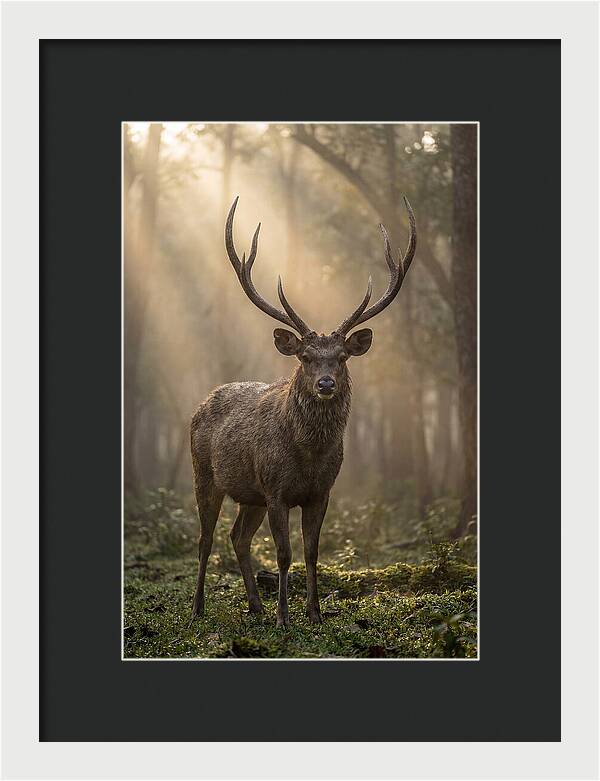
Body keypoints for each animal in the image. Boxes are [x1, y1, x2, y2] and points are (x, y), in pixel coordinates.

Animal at [190, 196, 416, 627]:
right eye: (306, 357)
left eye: (342, 357)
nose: (325, 384)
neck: (308, 456)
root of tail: (201, 403)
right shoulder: (276, 489)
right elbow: (284, 554)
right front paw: (284, 618)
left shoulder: (321, 492)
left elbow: (311, 552)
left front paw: (314, 613)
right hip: (205, 475)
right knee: (206, 539)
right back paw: (198, 609)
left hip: (250, 494)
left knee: (238, 537)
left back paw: (255, 605)